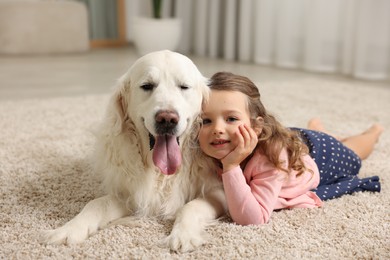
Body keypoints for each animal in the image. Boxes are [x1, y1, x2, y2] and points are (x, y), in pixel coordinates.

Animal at [40, 49, 225, 251]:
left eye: (184, 87)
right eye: (147, 86)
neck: (160, 173)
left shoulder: (218, 193)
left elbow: (190, 206)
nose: (167, 119)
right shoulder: (130, 194)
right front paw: (68, 230)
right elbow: (95, 204)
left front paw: (183, 235)